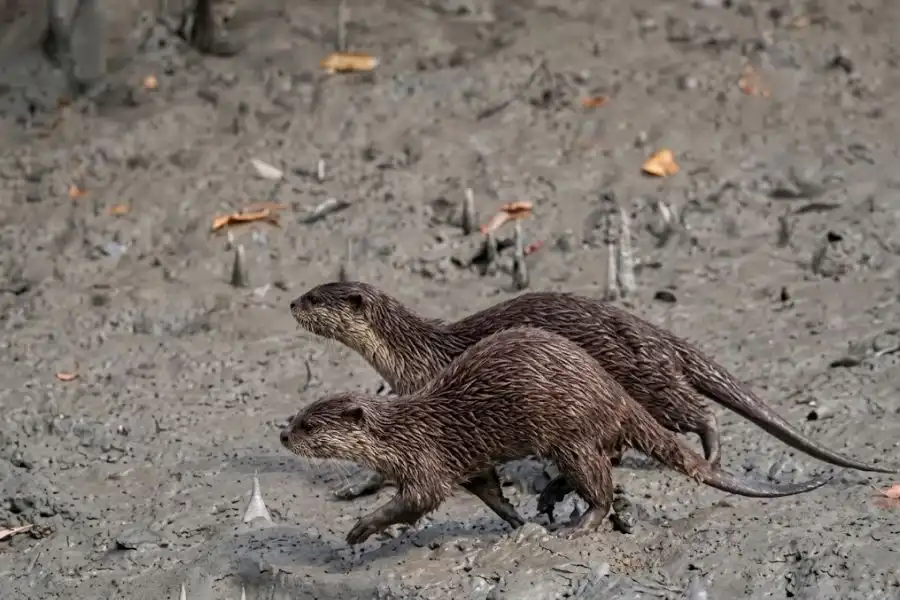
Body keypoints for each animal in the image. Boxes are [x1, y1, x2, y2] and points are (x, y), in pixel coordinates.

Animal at [280, 327, 833, 546]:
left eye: (310, 425)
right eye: (297, 416)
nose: (284, 437)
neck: (402, 431)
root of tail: (613, 393)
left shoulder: (424, 462)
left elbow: (417, 501)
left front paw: (361, 527)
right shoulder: (466, 465)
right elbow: (487, 488)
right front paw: (517, 519)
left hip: (570, 432)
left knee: (601, 484)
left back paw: (579, 524)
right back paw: (550, 499)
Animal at [288, 280, 896, 501]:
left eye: (316, 297)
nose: (291, 302)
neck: (412, 352)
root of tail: (653, 332)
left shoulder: (425, 392)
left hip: (647, 377)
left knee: (696, 413)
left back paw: (711, 456)